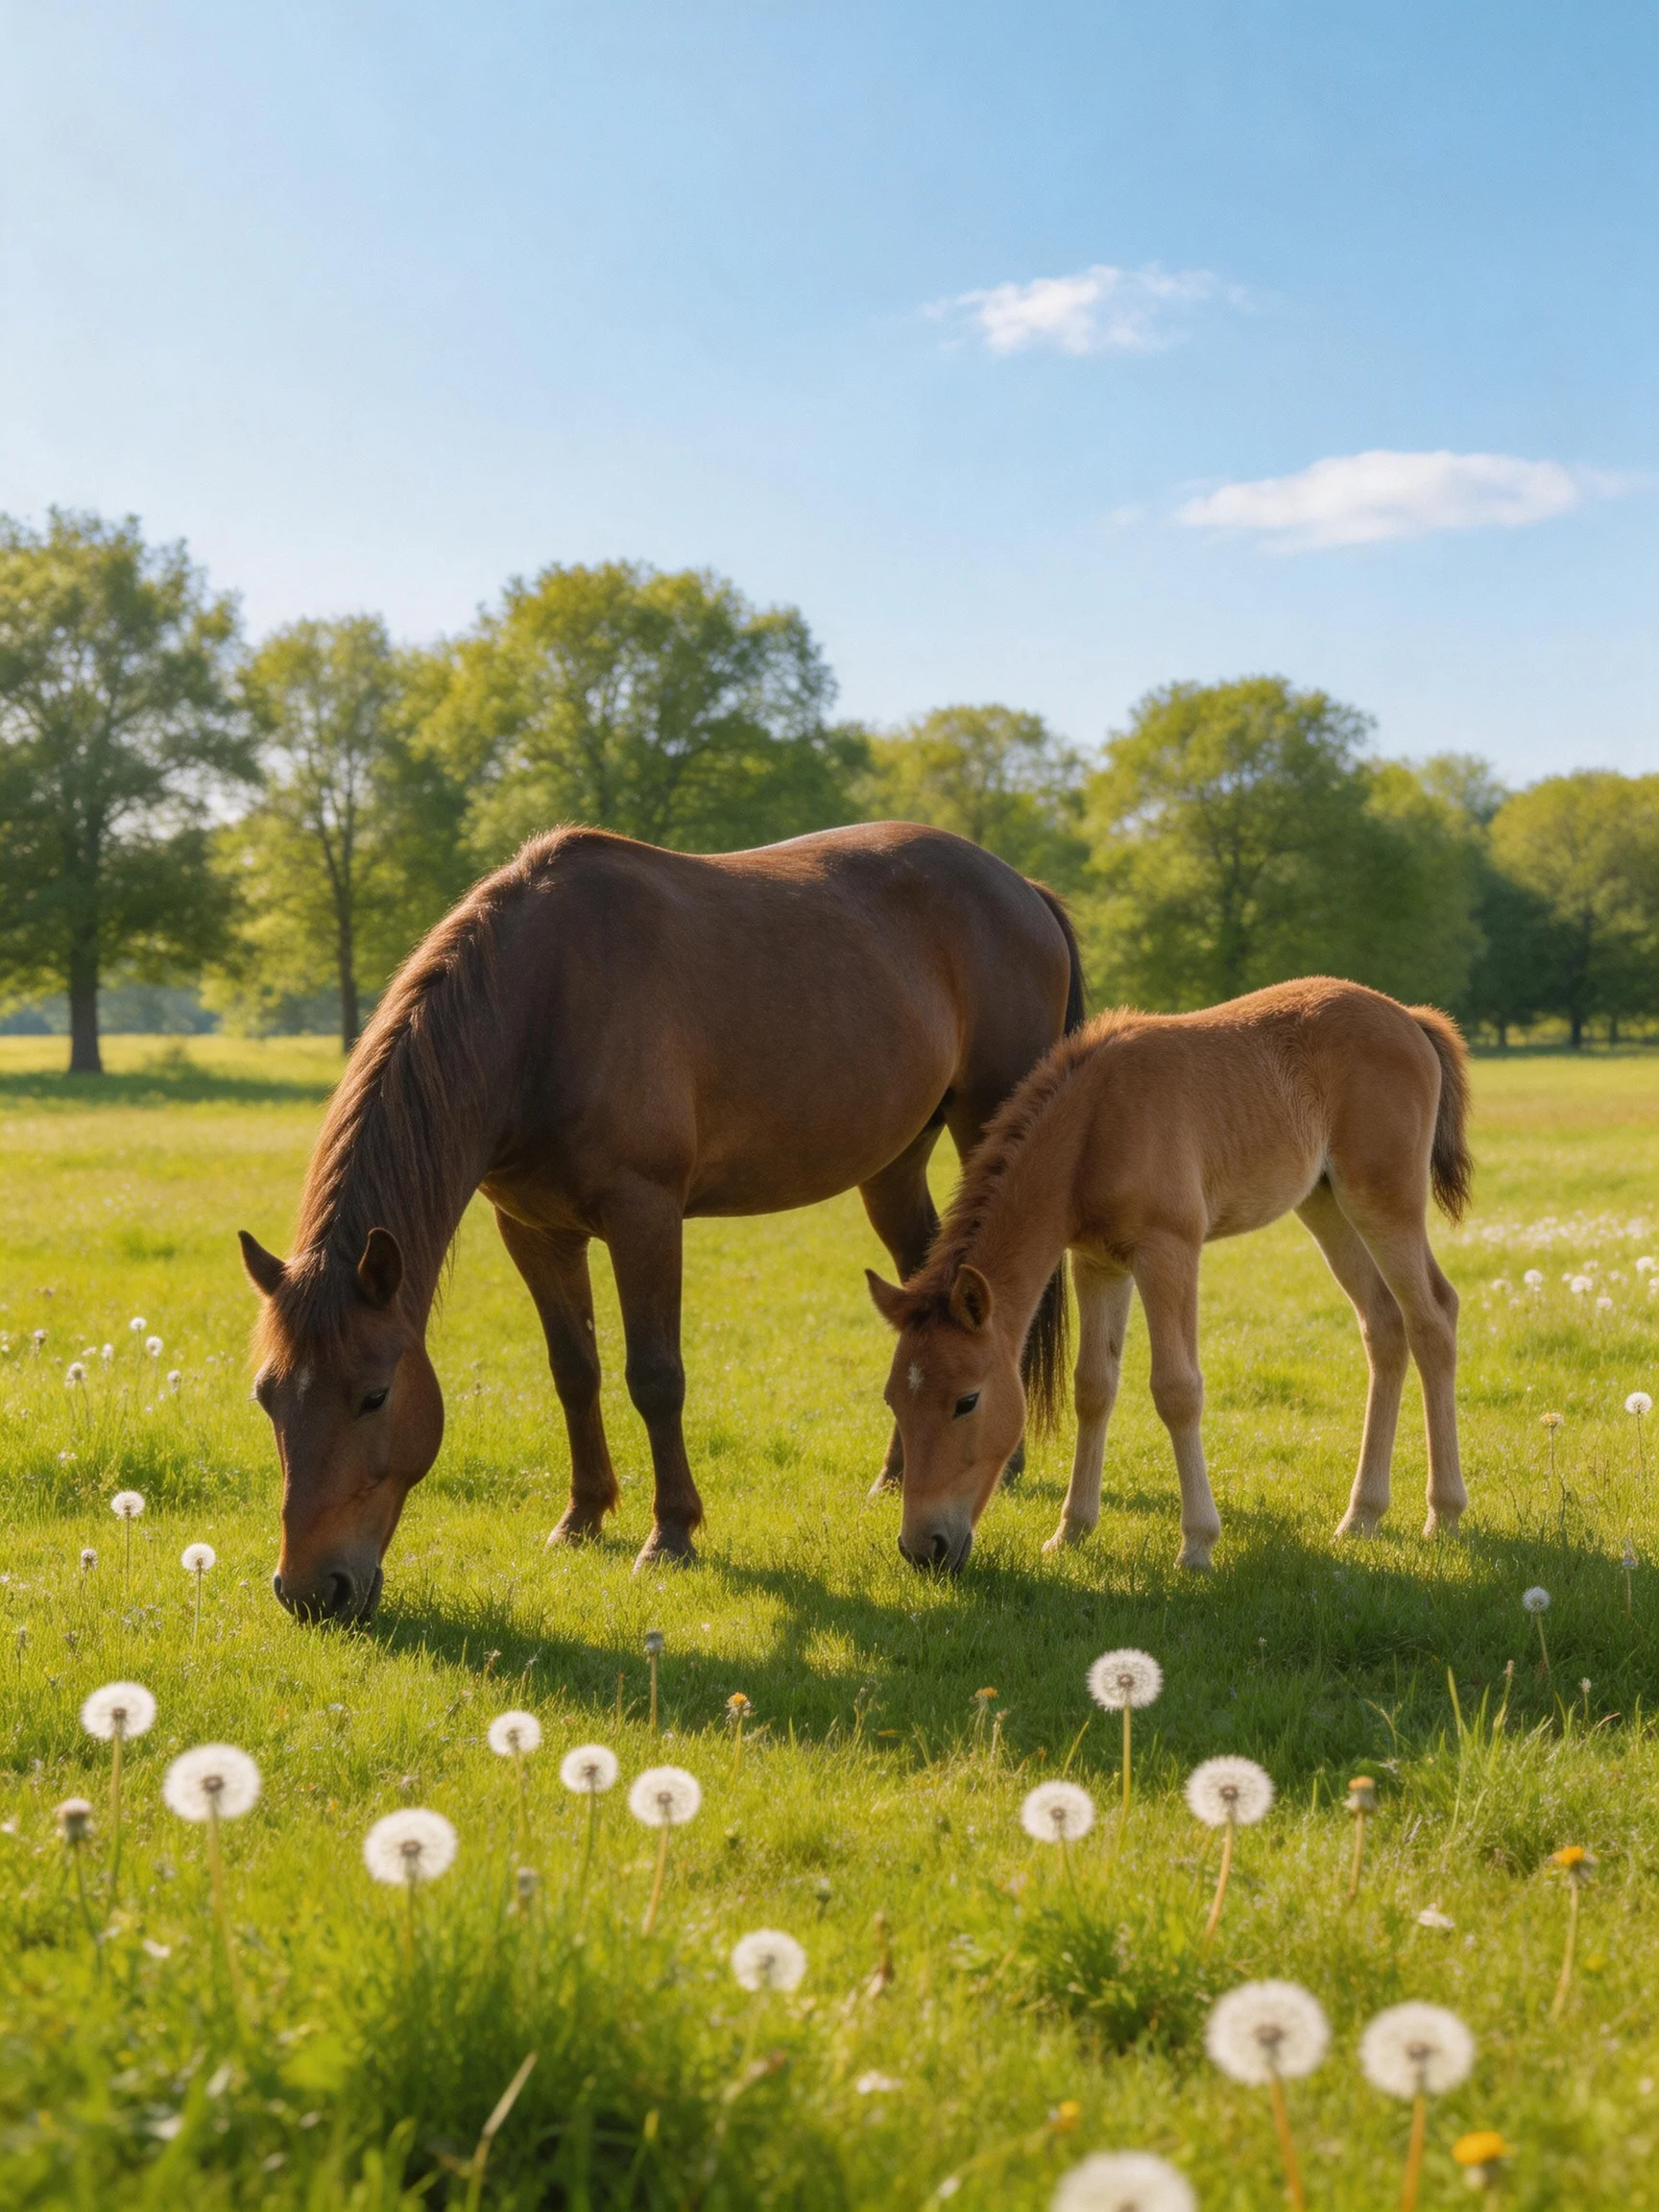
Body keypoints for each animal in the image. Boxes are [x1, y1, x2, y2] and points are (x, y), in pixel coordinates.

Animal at [239, 821, 1084, 1621]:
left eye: (374, 1396)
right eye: (267, 1398)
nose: (309, 1591)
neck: (542, 1003)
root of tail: (1024, 890)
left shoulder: (645, 1215)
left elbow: (654, 1376)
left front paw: (670, 1533)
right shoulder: (533, 1230)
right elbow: (573, 1370)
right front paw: (582, 1517)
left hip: (990, 1121)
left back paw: (1001, 1464)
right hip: (894, 1163)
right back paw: (898, 1472)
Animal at [867, 976, 1471, 1574]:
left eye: (966, 1401)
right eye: (893, 1399)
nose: (923, 1548)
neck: (1095, 1124)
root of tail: (1410, 1018)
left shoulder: (1168, 1250)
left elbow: (1177, 1389)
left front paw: (1197, 1543)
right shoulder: (1097, 1262)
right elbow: (1094, 1386)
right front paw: (1071, 1532)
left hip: (1382, 1199)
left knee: (1433, 1318)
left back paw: (1443, 1513)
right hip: (1325, 1204)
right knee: (1384, 1324)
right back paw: (1362, 1517)